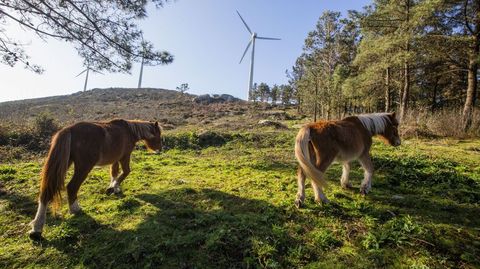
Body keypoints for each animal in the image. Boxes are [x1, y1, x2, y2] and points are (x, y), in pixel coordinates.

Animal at [29, 119, 163, 239]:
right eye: (159, 135)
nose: (159, 150)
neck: (129, 131)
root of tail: (69, 130)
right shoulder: (124, 156)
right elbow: (125, 172)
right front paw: (113, 187)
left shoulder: (115, 159)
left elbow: (114, 172)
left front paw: (114, 188)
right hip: (83, 167)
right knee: (72, 186)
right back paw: (75, 209)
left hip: (64, 164)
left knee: (47, 191)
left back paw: (36, 228)